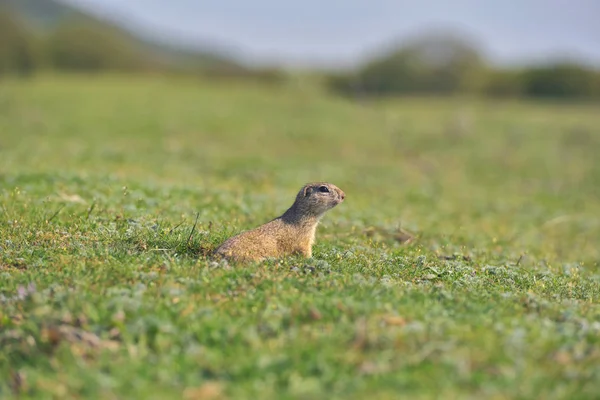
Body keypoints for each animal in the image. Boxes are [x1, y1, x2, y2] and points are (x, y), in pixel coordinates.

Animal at [216, 181, 346, 262]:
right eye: (324, 188)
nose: (344, 195)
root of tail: (216, 255)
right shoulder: (304, 240)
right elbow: (306, 251)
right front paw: (311, 259)